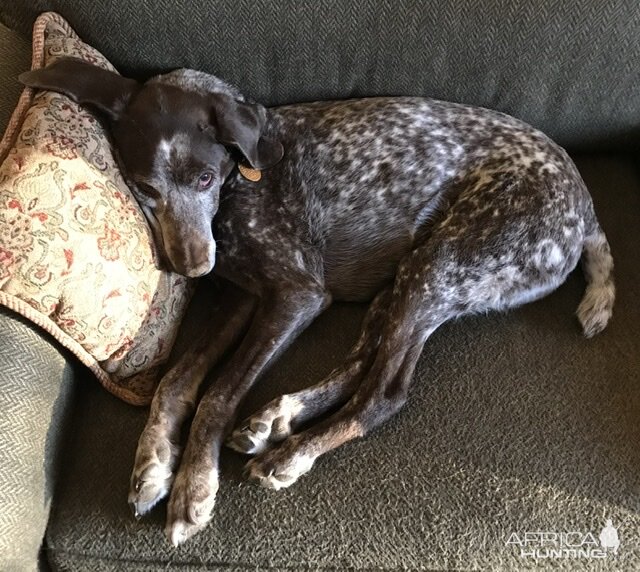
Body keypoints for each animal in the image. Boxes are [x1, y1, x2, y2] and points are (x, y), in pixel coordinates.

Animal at [22, 57, 616, 544]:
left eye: (205, 177)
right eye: (144, 189)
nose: (191, 266)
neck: (244, 183)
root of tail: (584, 208)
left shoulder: (297, 294)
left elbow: (217, 393)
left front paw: (194, 486)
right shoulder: (241, 296)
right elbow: (175, 380)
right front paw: (152, 462)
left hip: (440, 265)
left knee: (385, 392)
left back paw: (293, 454)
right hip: (406, 279)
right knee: (361, 363)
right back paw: (279, 417)